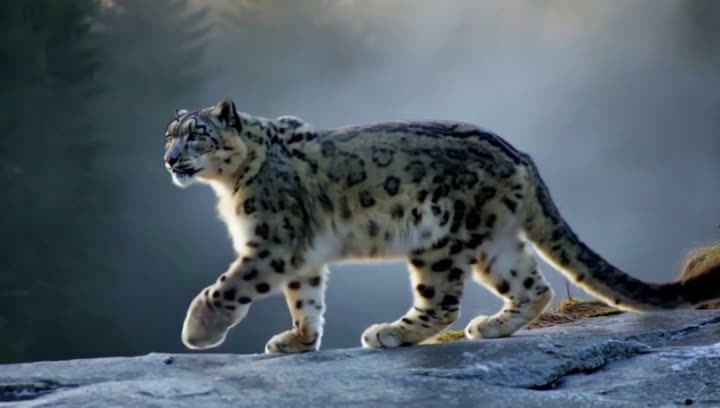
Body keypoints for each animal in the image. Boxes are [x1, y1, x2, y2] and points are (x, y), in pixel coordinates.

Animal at [163, 98, 720, 354]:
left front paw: (198, 329)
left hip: (438, 240)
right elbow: (306, 298)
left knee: (442, 303)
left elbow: (228, 285)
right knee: (533, 285)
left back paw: (390, 332)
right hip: (495, 243)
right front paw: (298, 340)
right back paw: (492, 325)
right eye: (169, 134)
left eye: (197, 134)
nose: (169, 159)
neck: (230, 186)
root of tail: (520, 156)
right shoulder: (300, 256)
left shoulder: (273, 244)